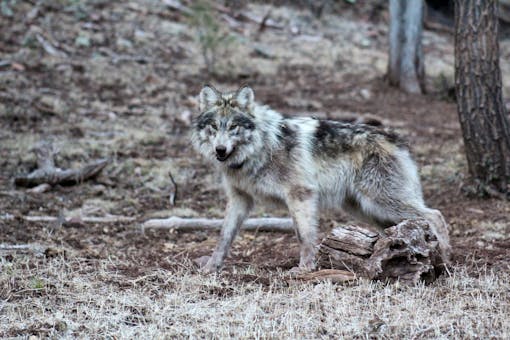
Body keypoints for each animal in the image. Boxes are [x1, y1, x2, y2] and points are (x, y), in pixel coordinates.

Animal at [191, 85, 450, 274]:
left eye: (233, 127)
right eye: (213, 127)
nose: (220, 150)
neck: (262, 147)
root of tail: (396, 138)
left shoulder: (300, 195)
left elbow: (304, 235)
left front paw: (304, 269)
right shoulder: (240, 199)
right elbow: (224, 237)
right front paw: (211, 267)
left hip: (382, 202)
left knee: (435, 215)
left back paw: (446, 258)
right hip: (366, 209)